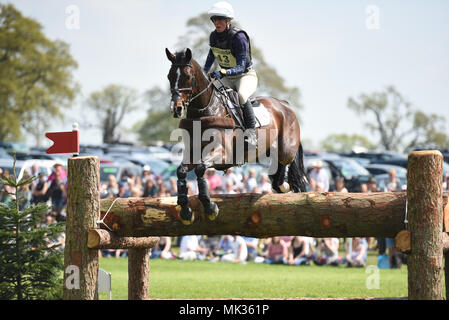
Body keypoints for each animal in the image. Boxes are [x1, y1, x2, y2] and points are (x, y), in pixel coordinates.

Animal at [164, 48, 308, 225]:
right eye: (169, 76)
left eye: (187, 76)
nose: (176, 108)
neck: (206, 111)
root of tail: (284, 104)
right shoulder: (193, 152)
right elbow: (181, 171)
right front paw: (185, 211)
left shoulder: (223, 154)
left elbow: (200, 169)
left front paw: (210, 207)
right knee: (277, 170)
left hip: (286, 148)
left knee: (286, 161)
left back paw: (284, 185)